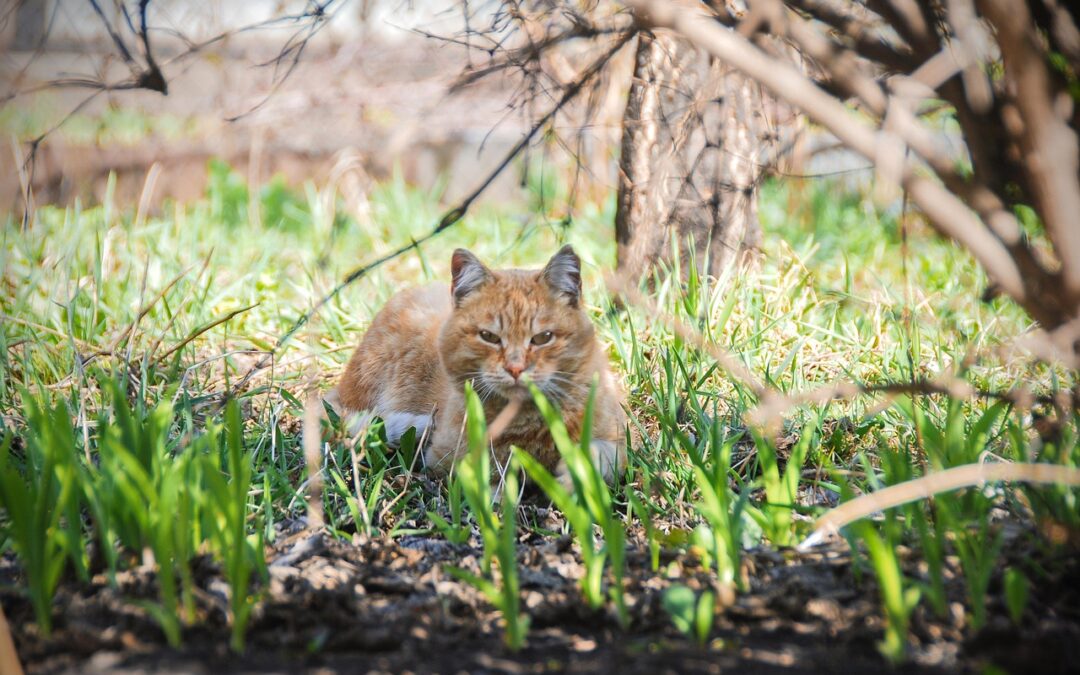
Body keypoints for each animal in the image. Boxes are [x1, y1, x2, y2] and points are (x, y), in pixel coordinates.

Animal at [334, 245, 626, 481]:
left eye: (543, 338)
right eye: (489, 337)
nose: (515, 369)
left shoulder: (620, 441)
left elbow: (604, 456)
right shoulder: (445, 456)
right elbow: (497, 471)